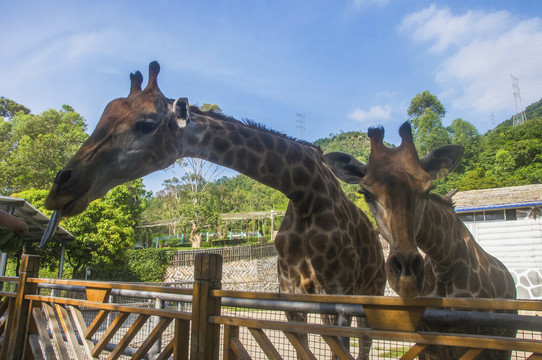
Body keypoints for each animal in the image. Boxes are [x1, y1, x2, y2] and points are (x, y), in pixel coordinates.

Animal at [41, 63, 386, 358]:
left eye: (146, 124)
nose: (61, 188)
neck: (305, 192)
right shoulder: (291, 292)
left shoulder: (338, 291)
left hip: (372, 290)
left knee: (366, 341)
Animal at [324, 122, 520, 358]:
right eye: (366, 194)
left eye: (427, 191)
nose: (407, 277)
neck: (445, 264)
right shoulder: (429, 341)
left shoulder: (475, 339)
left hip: (507, 338)